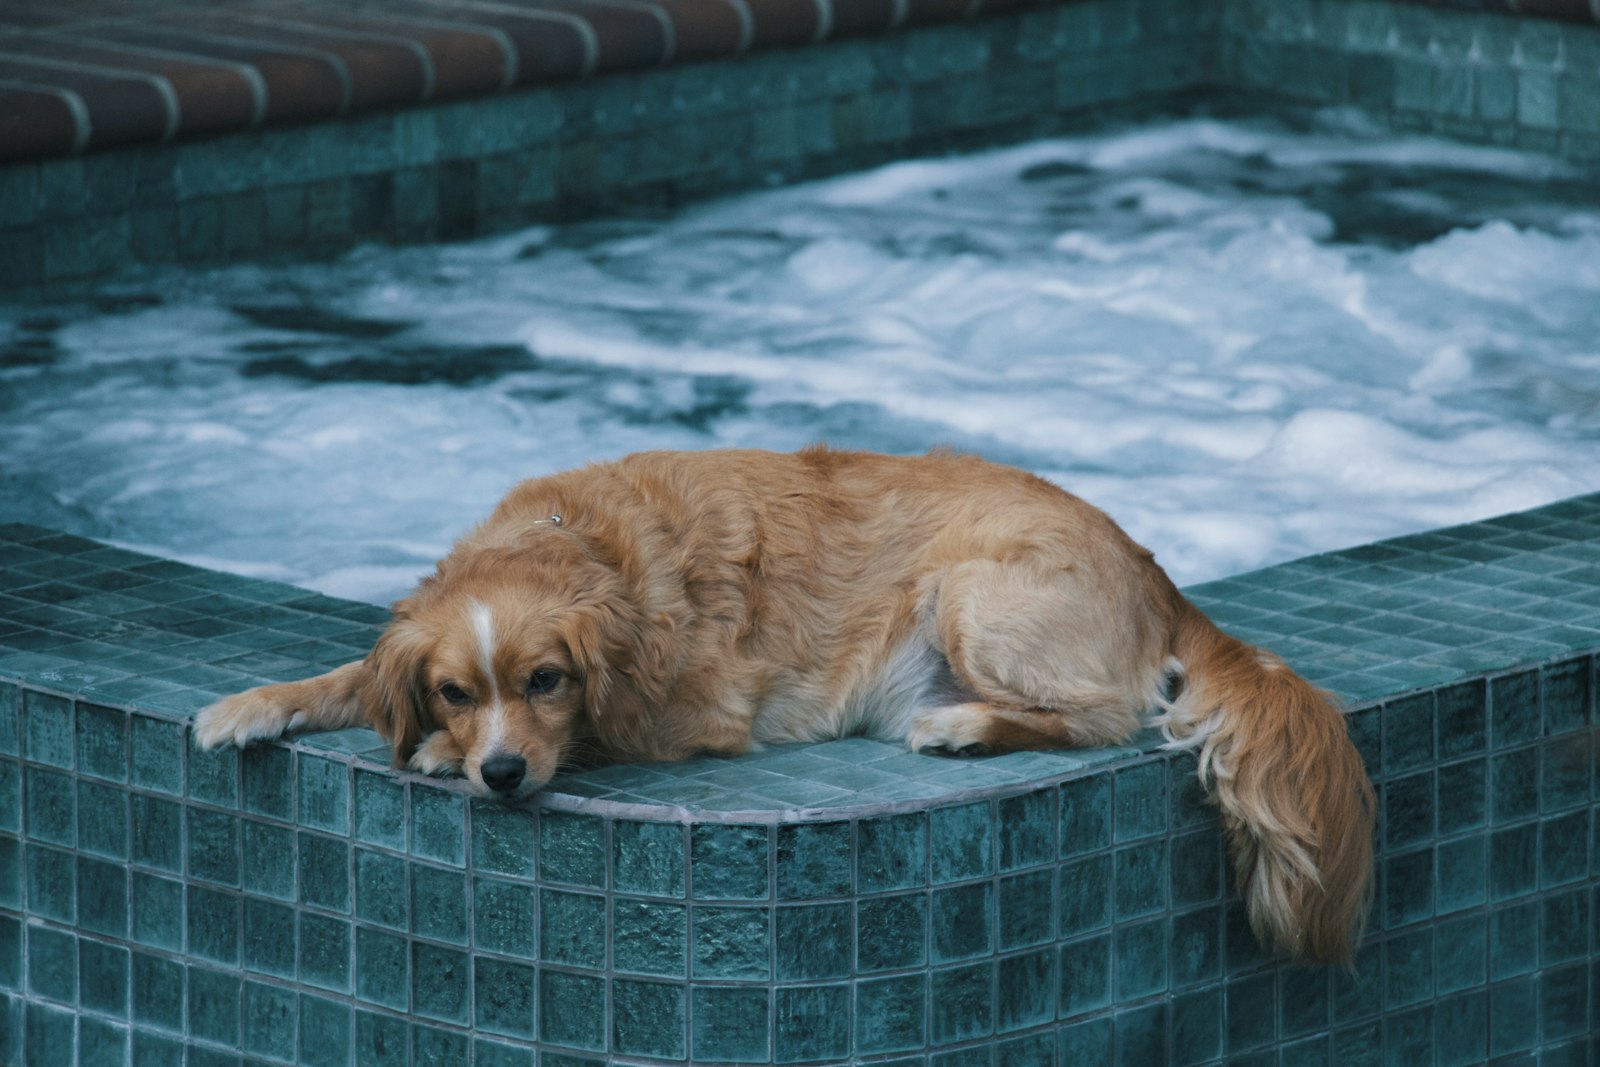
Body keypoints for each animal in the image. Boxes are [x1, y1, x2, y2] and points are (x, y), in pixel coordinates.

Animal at [196, 447, 1376, 966]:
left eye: (548, 681)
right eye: (453, 685)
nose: (502, 771)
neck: (580, 541)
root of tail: (1158, 572)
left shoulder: (689, 712)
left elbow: (603, 733)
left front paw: (441, 758)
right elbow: (350, 676)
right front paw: (257, 702)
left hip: (972, 592)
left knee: (1100, 719)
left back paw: (965, 724)